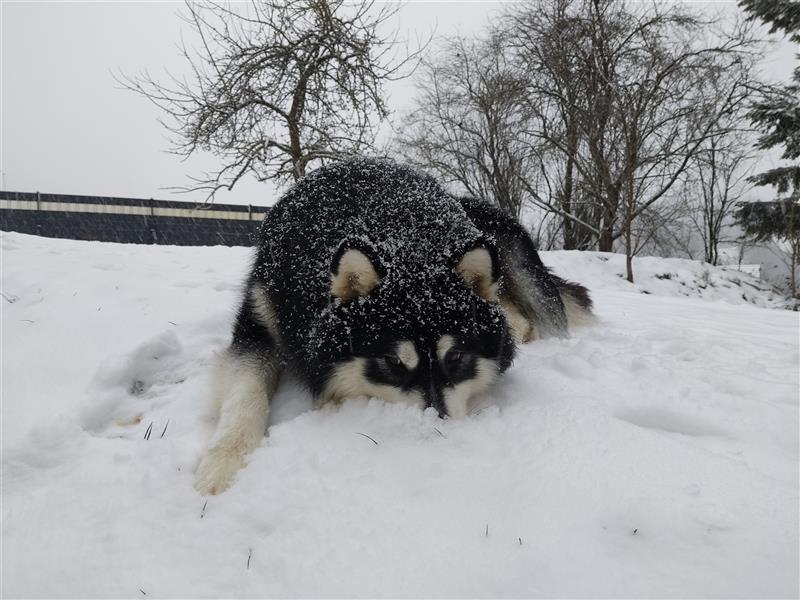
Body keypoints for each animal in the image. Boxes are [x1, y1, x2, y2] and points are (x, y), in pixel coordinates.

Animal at [195, 157, 592, 494]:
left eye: (456, 357)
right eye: (393, 362)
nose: (437, 431)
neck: (400, 231)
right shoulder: (261, 317)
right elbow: (246, 391)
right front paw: (224, 461)